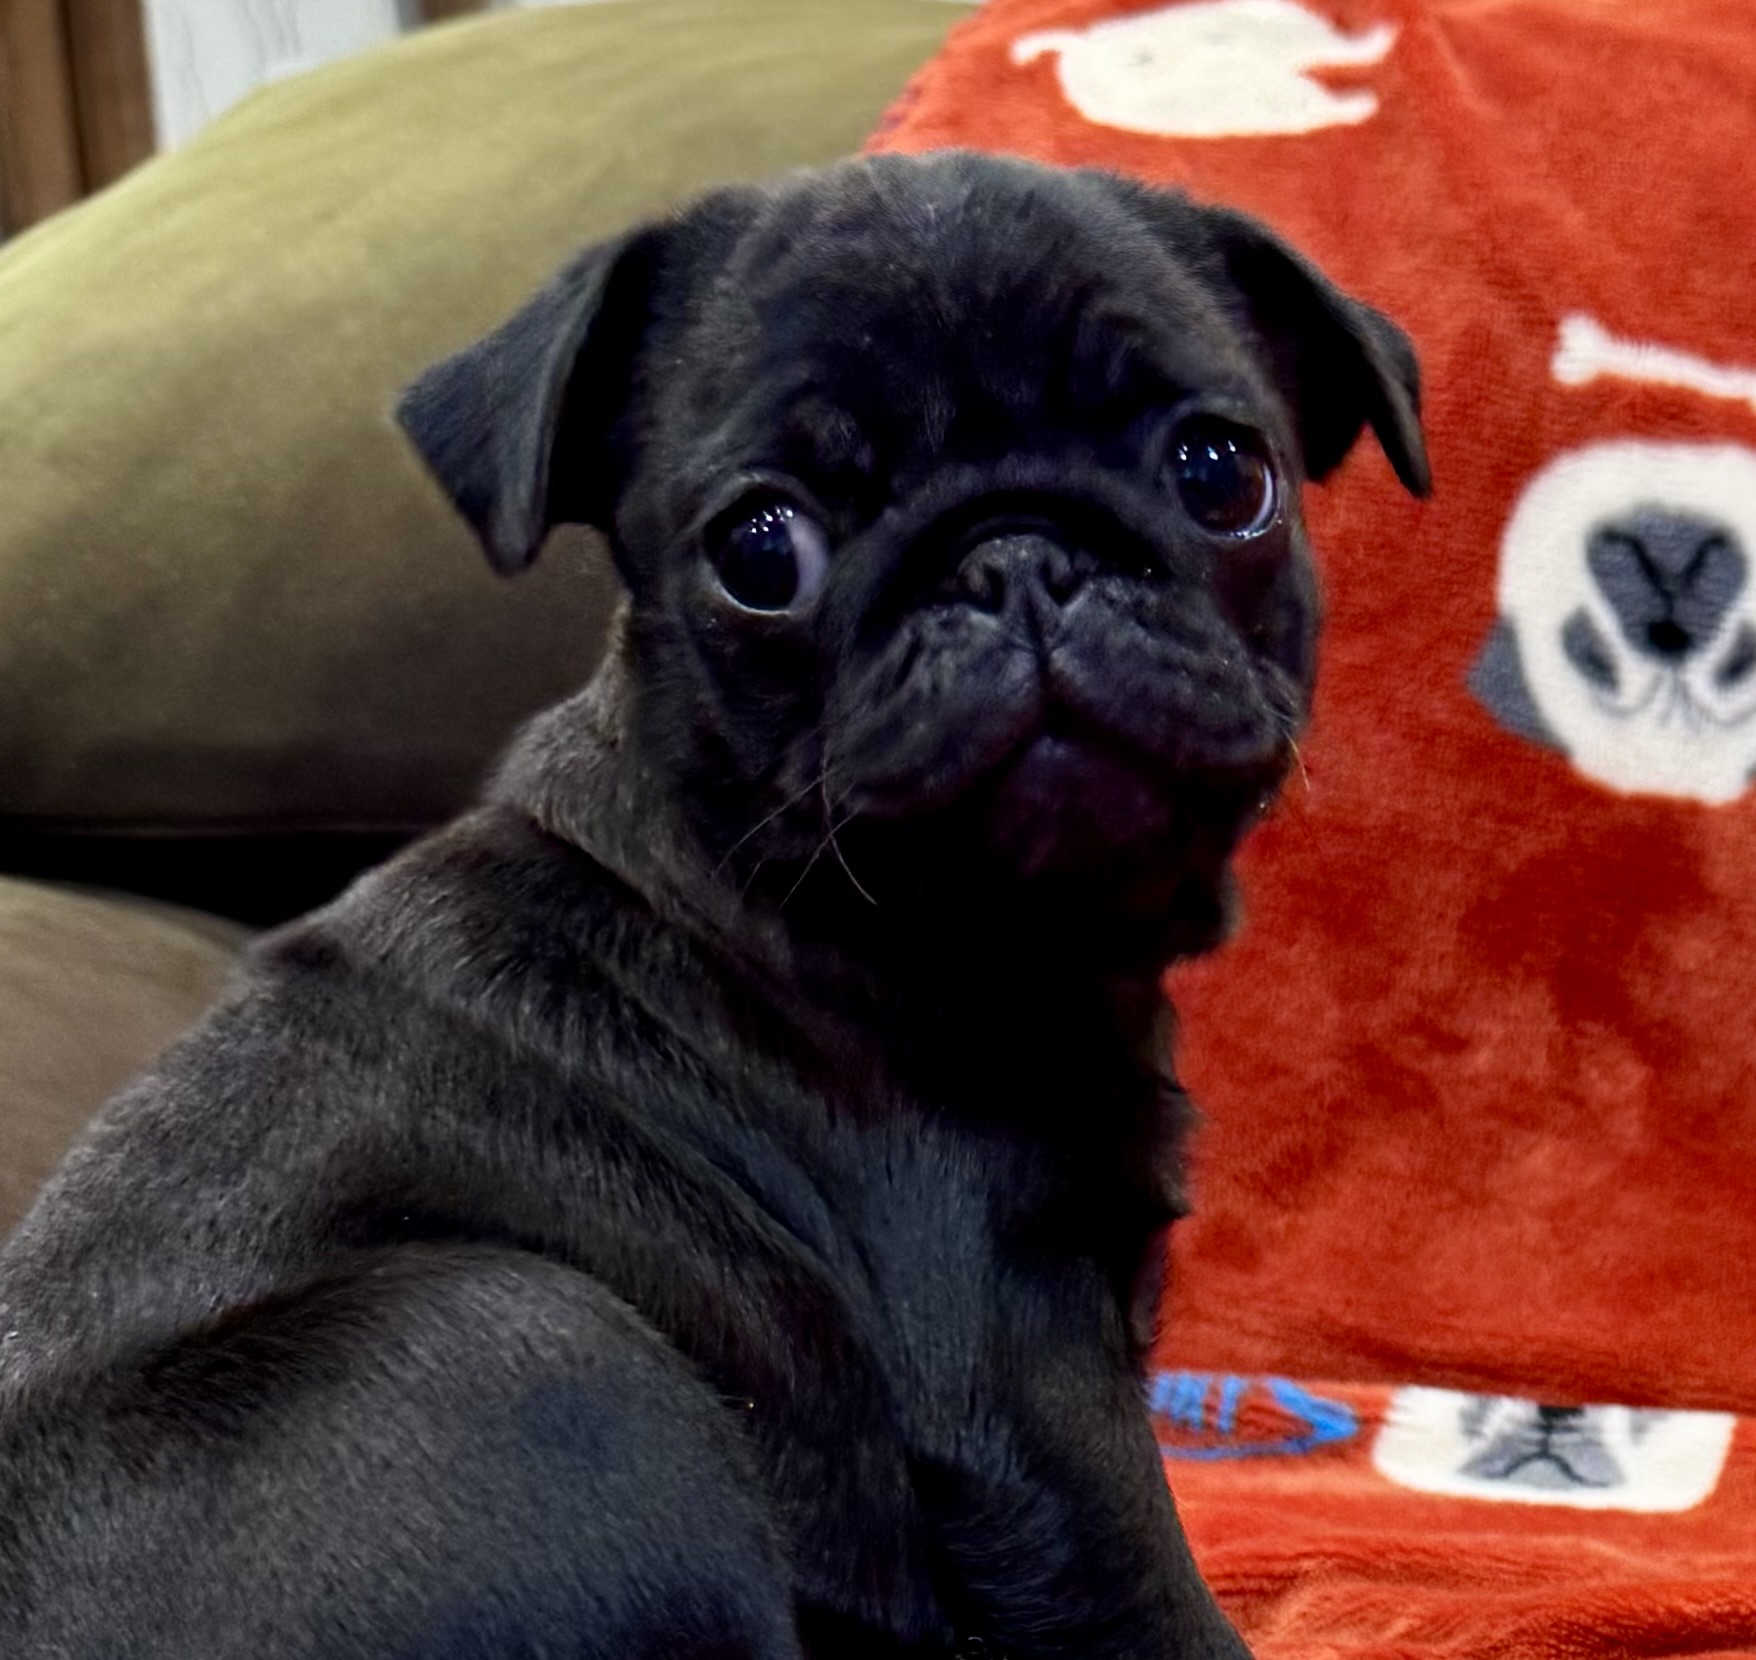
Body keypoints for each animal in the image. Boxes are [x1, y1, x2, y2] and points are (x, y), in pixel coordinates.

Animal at [0, 151, 1426, 1659]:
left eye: (1224, 474)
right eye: (760, 551)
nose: (1014, 558)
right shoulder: (1026, 1379)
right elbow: (1150, 1593)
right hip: (527, 1339)